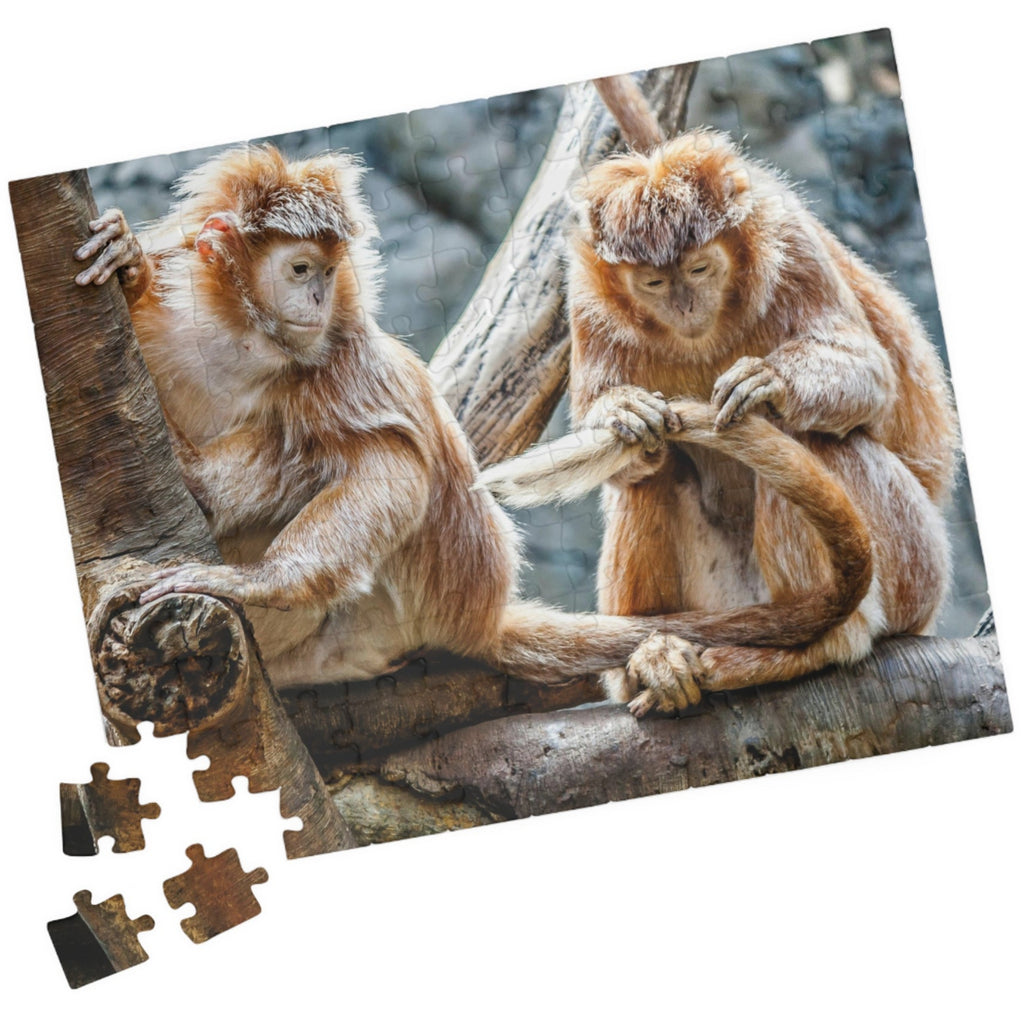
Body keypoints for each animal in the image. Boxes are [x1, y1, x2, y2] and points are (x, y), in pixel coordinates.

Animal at [74, 142, 875, 694]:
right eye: (300, 269)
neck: (244, 340)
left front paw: (254, 582)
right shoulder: (183, 321)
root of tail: (476, 616)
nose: (317, 298)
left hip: (382, 612)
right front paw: (128, 262)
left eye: (326, 273)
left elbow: (391, 467)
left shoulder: (339, 356)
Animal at [481, 128, 958, 716]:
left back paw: (822, 642)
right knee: (653, 469)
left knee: (816, 438)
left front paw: (771, 381)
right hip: (718, 599)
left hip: (917, 564)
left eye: (700, 269)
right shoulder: (587, 295)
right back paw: (650, 656)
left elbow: (872, 375)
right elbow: (622, 452)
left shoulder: (790, 242)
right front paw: (623, 412)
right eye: (654, 283)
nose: (686, 306)